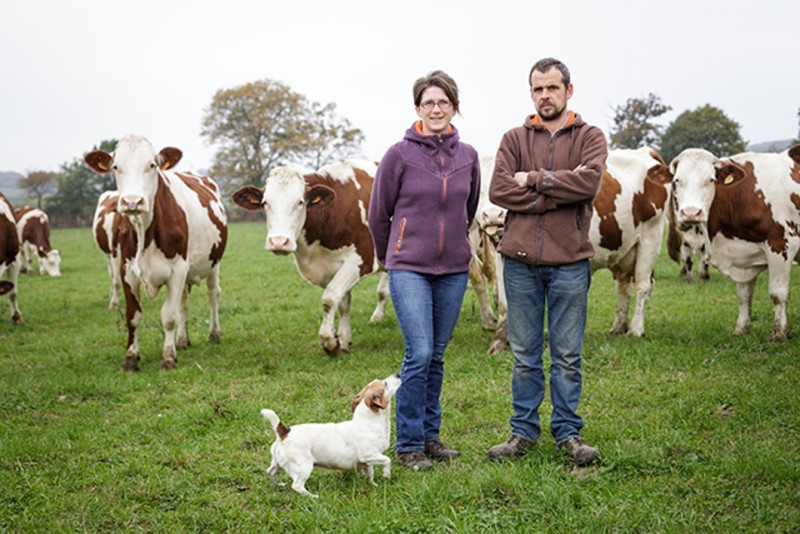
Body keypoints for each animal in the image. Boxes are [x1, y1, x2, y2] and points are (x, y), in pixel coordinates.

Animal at [84, 136, 227, 370]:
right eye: (115, 166)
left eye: (152, 165)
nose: (132, 202)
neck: (145, 231)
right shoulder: (126, 270)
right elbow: (133, 316)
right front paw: (130, 358)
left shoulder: (177, 270)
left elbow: (168, 316)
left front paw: (168, 358)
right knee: (184, 302)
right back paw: (182, 340)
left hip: (213, 262)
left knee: (212, 295)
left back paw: (214, 334)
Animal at [230, 161, 390, 358]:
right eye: (265, 202)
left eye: (300, 202)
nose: (279, 242)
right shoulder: (330, 267)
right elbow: (342, 302)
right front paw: (343, 340)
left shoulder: (361, 260)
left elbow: (329, 298)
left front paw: (329, 342)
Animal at [260, 374, 400, 500]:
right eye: (385, 384)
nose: (398, 374)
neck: (369, 421)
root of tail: (284, 432)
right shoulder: (368, 455)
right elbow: (387, 460)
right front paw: (386, 474)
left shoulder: (368, 461)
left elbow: (370, 474)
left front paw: (373, 485)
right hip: (303, 467)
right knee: (297, 486)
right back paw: (313, 496)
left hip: (277, 462)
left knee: (270, 472)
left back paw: (278, 485)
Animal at [668, 144, 800, 342]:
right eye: (677, 180)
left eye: (711, 180)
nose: (691, 213)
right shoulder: (743, 255)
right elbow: (744, 296)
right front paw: (741, 329)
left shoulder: (781, 245)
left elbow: (778, 293)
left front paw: (780, 333)